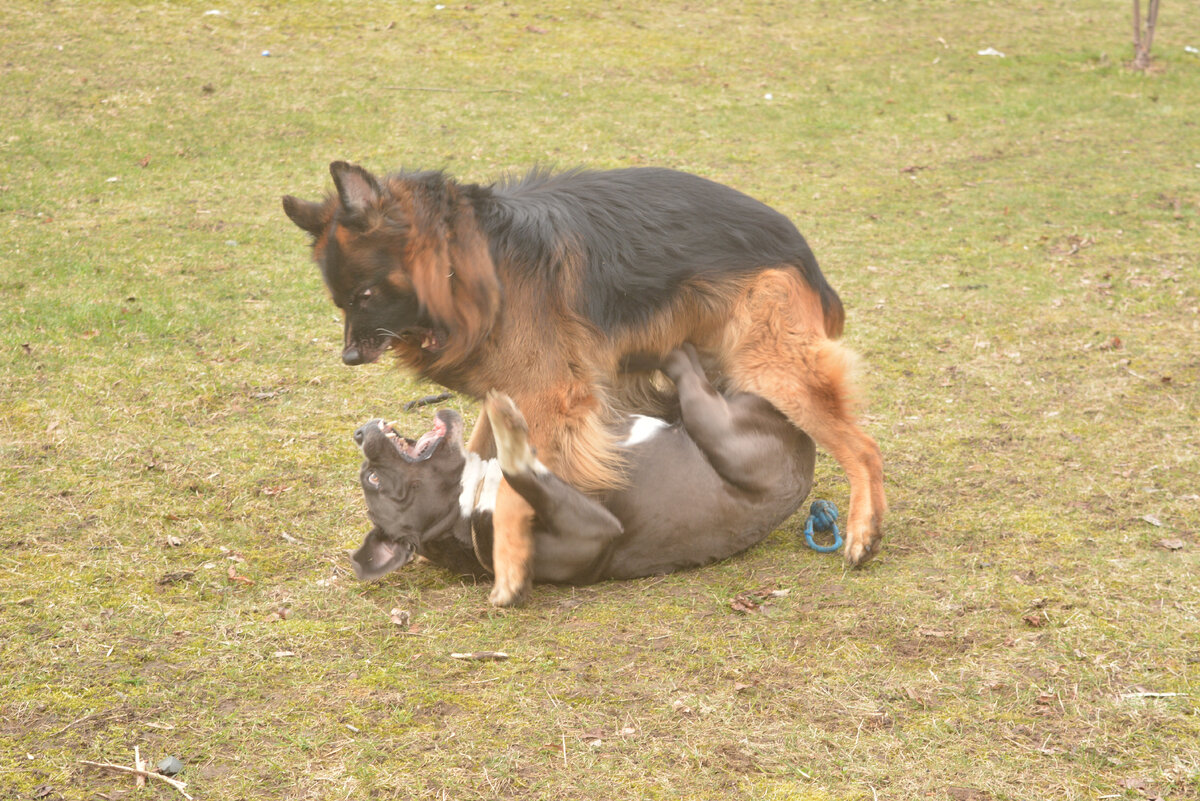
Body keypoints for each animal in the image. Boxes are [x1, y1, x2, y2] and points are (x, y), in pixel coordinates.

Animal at [348, 345, 816, 587]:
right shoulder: (595, 530)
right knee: (688, 376)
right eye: (374, 479)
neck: (466, 507)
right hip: (720, 429)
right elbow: (519, 467)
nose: (359, 433)